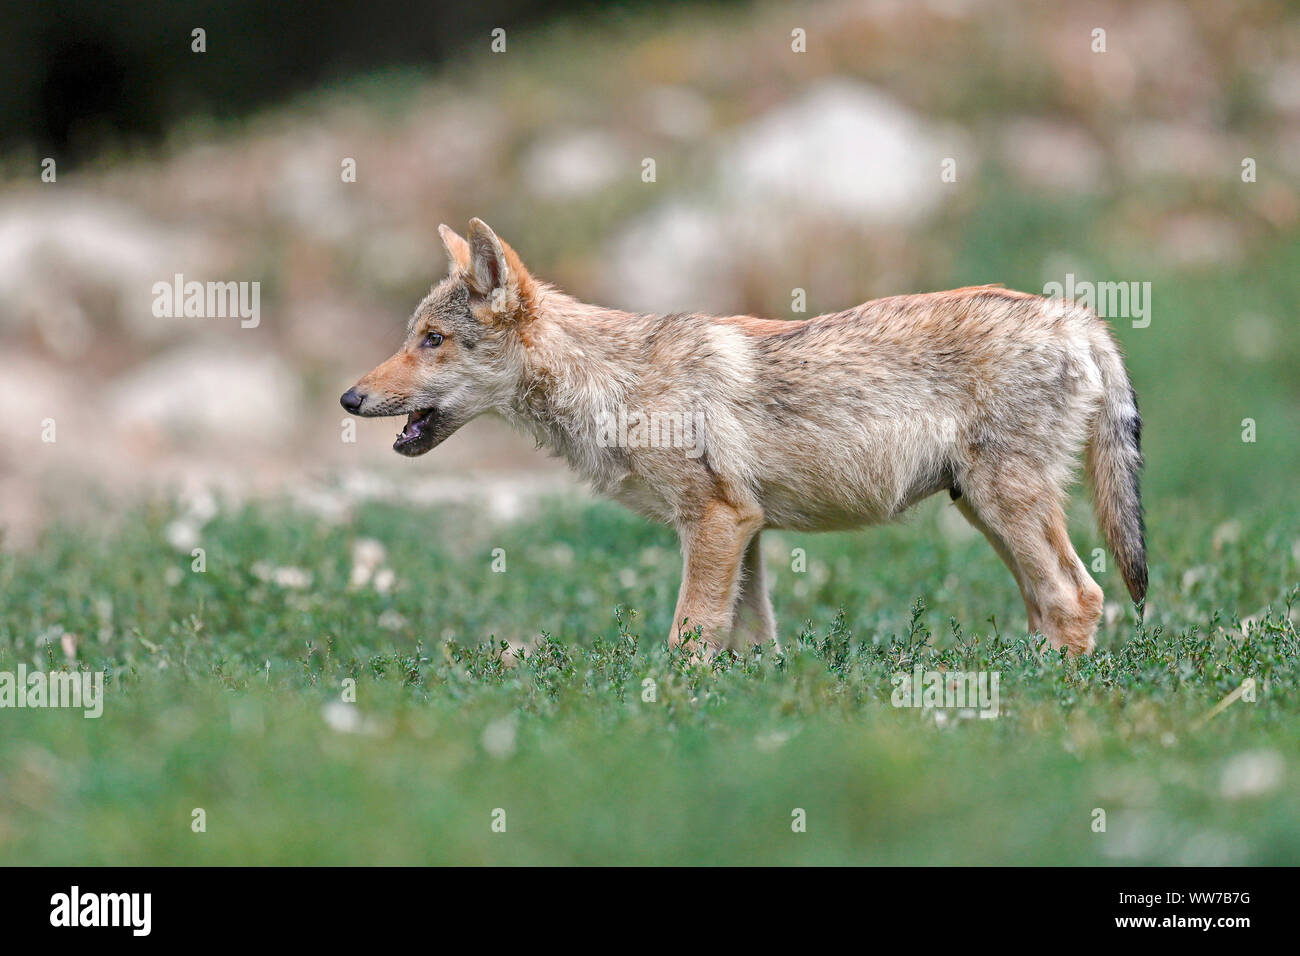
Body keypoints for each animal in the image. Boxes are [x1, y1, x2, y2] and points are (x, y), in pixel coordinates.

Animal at [342, 219, 1146, 656]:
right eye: (412, 337)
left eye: (432, 340)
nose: (349, 397)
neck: (614, 384)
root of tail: (1077, 316)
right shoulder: (745, 529)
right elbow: (752, 646)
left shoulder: (715, 522)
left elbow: (684, 644)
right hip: (983, 512)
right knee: (1052, 604)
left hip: (1003, 505)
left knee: (1079, 598)